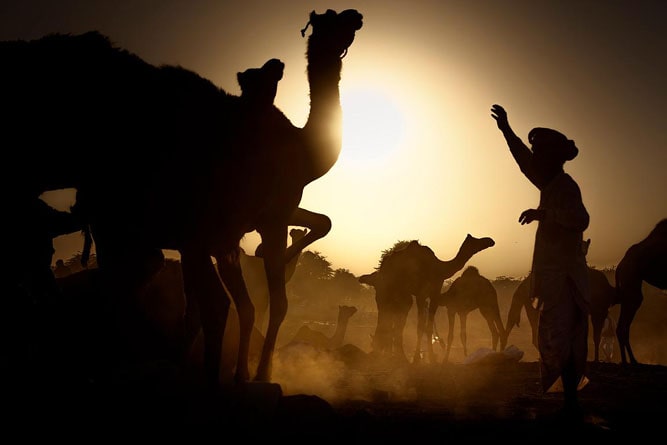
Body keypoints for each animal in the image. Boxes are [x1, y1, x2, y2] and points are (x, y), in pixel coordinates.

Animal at [2, 9, 364, 387]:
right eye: (331, 21)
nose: (355, 15)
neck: (303, 148)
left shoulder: (243, 225)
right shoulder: (260, 218)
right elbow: (268, 300)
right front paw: (254, 373)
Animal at [358, 234, 495, 364]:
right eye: (476, 240)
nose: (490, 241)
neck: (439, 267)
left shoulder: (435, 293)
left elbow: (428, 327)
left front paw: (431, 358)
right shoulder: (421, 293)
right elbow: (420, 326)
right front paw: (416, 359)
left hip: (401, 294)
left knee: (395, 318)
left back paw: (394, 355)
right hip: (387, 290)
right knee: (385, 314)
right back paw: (384, 353)